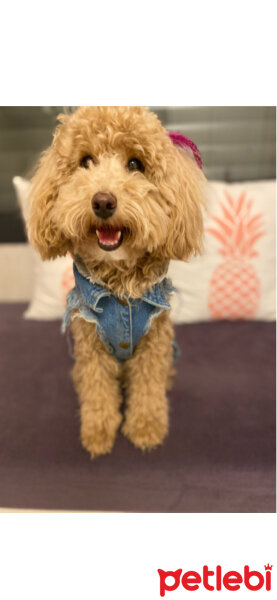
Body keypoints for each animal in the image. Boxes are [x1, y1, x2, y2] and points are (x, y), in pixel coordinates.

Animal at [29, 105, 204, 458]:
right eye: (85, 161)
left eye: (135, 164)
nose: (102, 201)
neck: (119, 284)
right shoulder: (91, 345)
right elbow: (98, 391)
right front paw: (98, 433)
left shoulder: (154, 344)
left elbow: (148, 388)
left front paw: (146, 428)